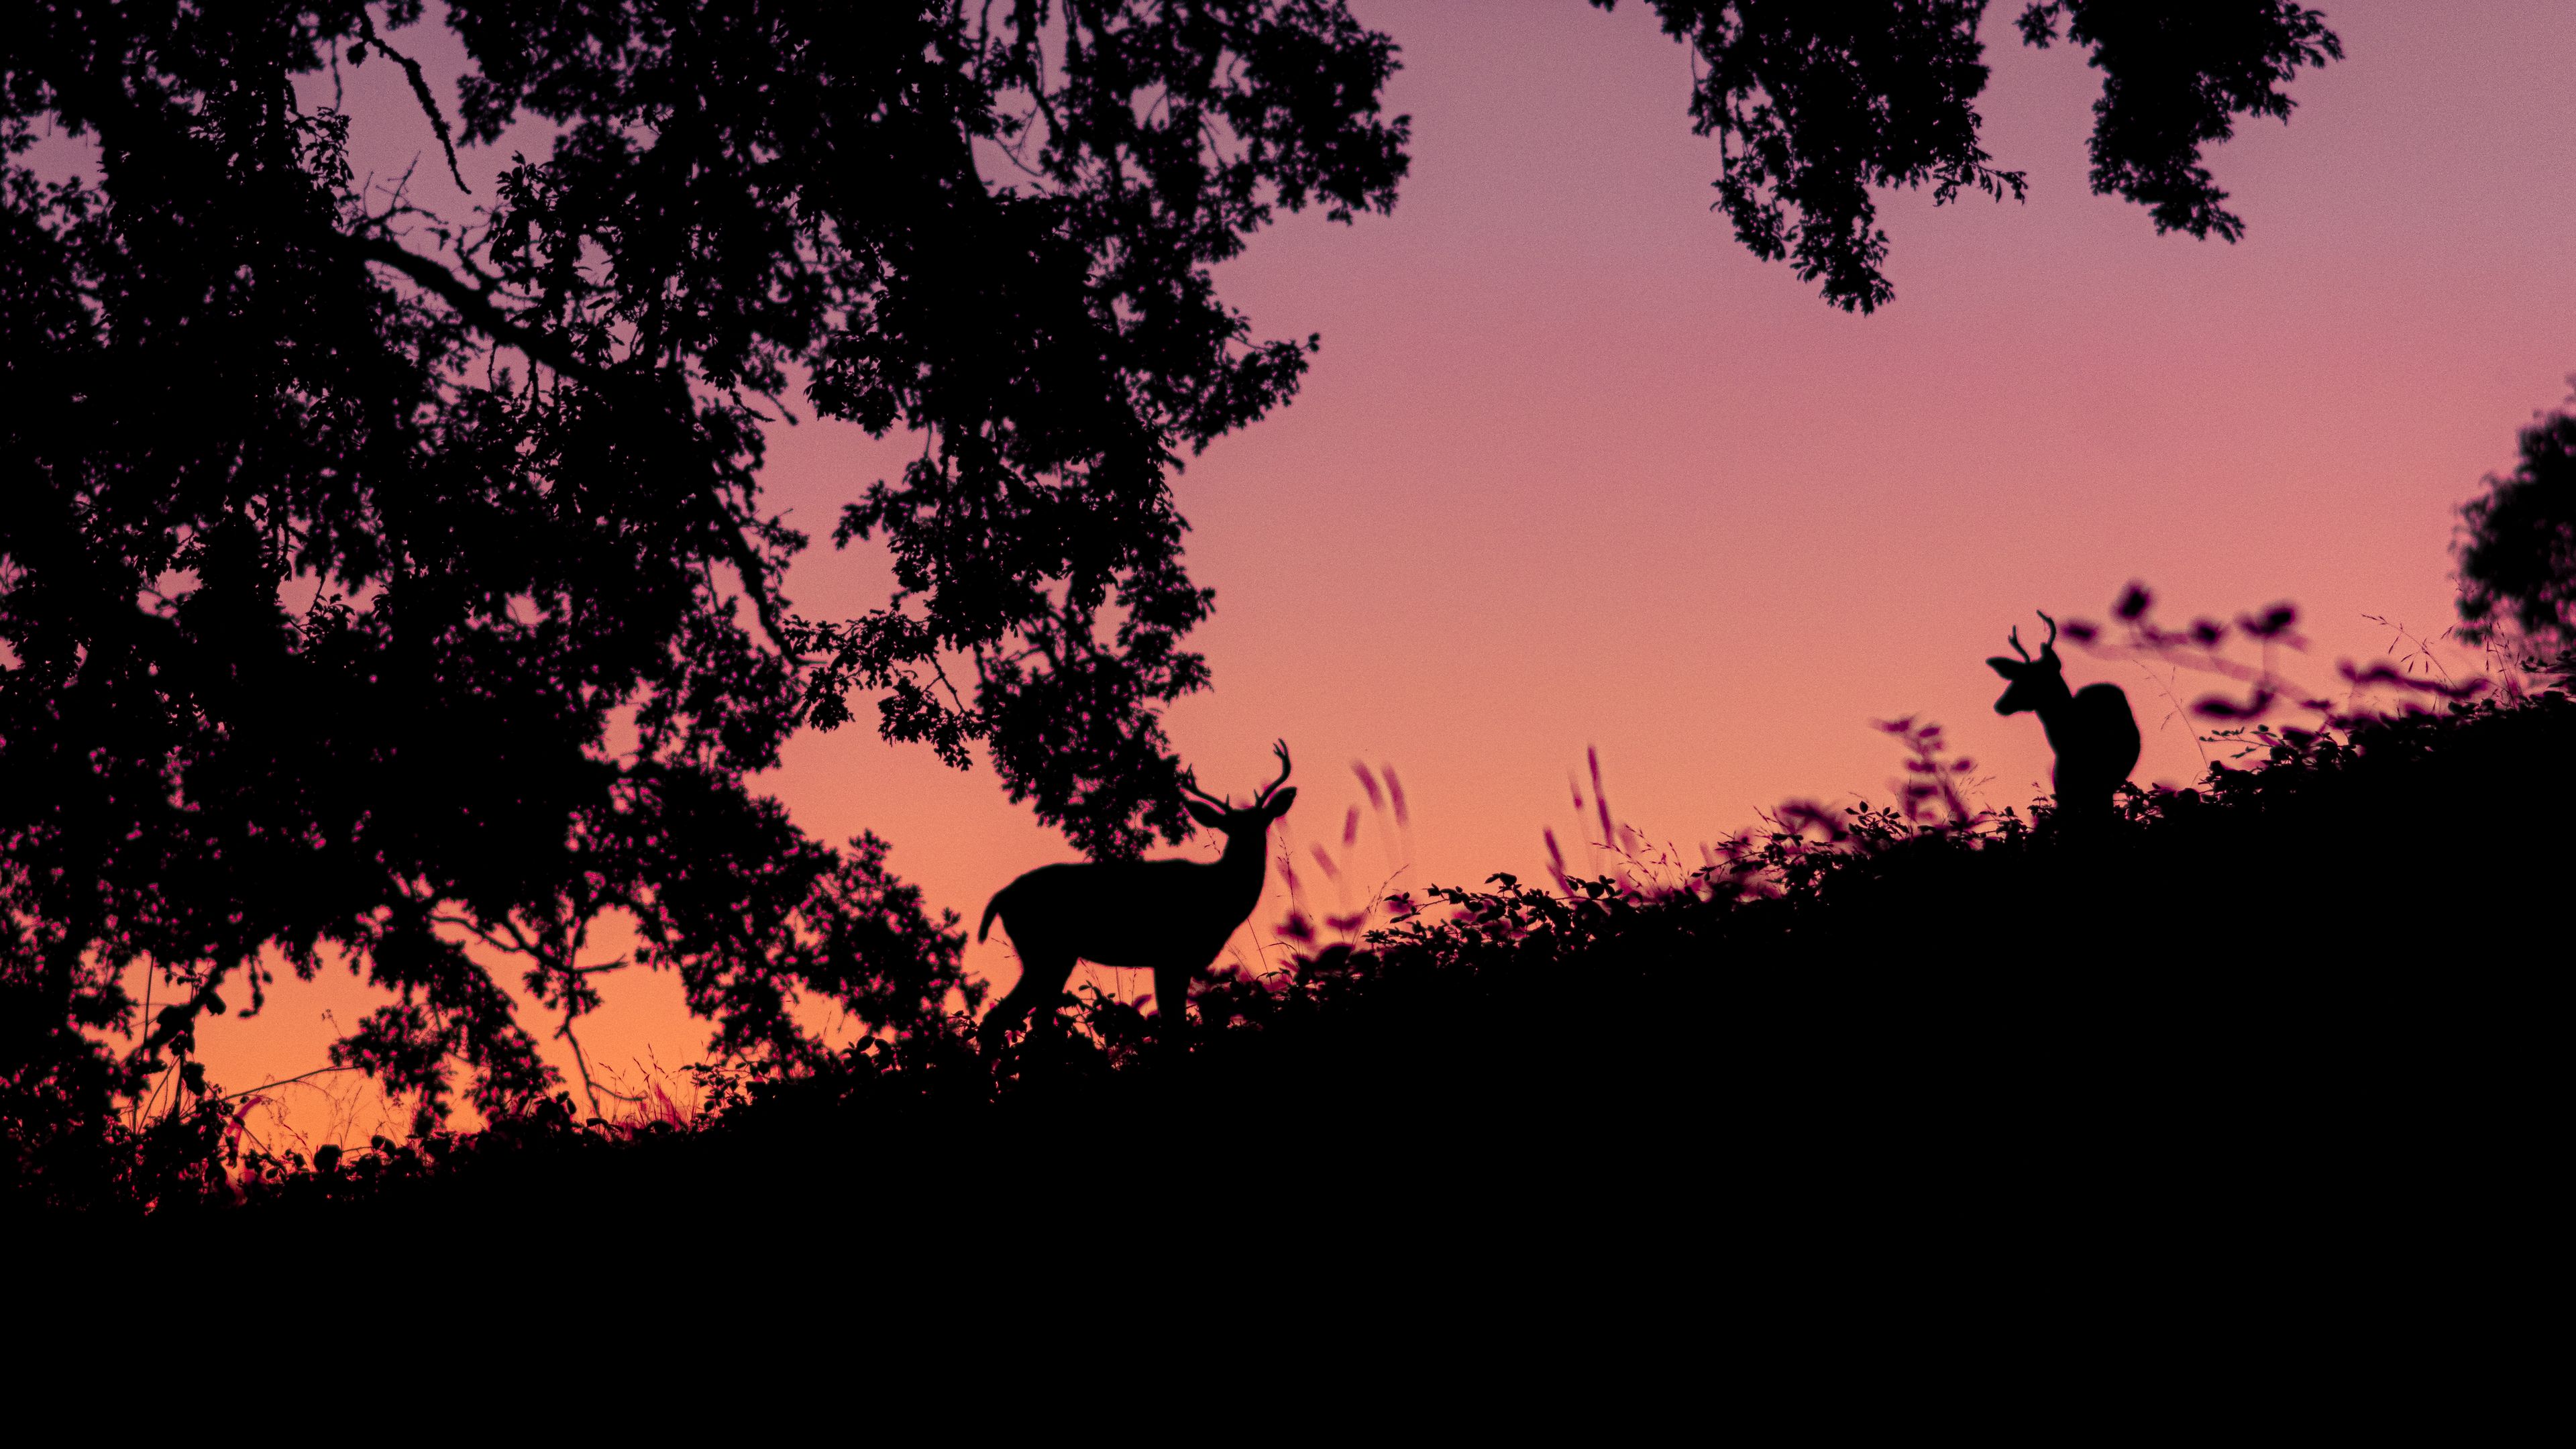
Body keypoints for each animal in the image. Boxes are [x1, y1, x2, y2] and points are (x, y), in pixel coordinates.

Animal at [976, 742, 1297, 1050]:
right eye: (1229, 827)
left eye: (1263, 821)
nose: (1251, 843)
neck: (1220, 895)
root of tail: (1001, 896)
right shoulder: (1172, 955)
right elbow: (1174, 1029)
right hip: (1044, 949)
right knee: (1003, 1019)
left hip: (1049, 955)